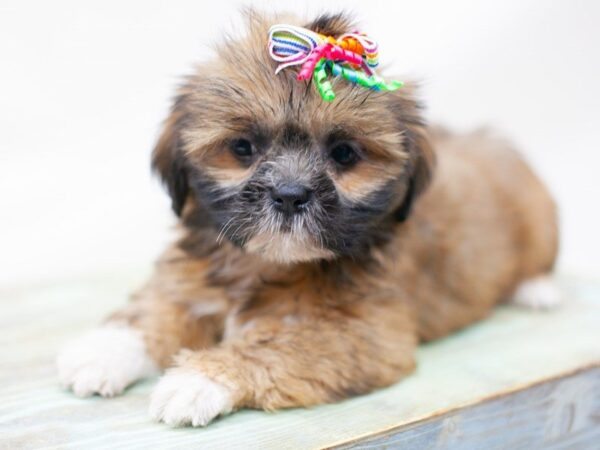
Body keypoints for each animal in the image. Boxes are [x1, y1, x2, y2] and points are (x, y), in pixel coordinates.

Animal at [55, 9, 556, 426]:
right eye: (242, 148)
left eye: (344, 154)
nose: (290, 195)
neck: (261, 265)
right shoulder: (192, 283)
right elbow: (157, 309)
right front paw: (104, 351)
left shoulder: (364, 333)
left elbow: (276, 345)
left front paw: (198, 379)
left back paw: (537, 288)